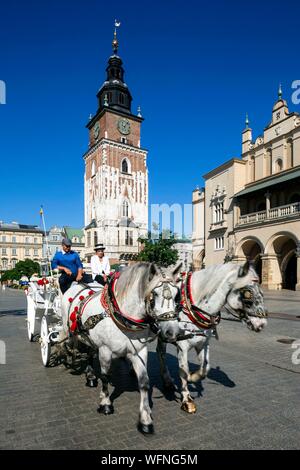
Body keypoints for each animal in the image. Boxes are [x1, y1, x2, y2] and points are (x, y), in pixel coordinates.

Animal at [58, 260, 180, 434]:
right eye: (155, 294)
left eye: (177, 295)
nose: (172, 332)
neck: (121, 316)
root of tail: (78, 284)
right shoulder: (104, 350)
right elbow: (105, 376)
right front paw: (105, 403)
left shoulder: (139, 352)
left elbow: (144, 382)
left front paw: (145, 419)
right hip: (70, 330)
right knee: (73, 345)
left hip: (89, 336)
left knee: (89, 352)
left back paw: (90, 376)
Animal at [157, 262, 268, 414]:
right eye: (248, 293)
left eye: (262, 293)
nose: (261, 324)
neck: (192, 307)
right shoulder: (182, 347)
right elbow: (183, 371)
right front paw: (187, 400)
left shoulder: (203, 343)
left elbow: (205, 368)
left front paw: (193, 377)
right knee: (160, 353)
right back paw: (167, 380)